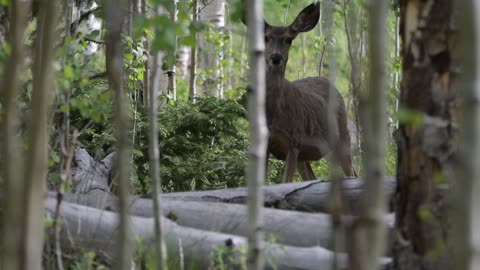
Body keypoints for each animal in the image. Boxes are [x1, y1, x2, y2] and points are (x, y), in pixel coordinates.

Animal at [244, 2, 356, 182]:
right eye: (266, 38)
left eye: (289, 39)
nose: (276, 57)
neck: (273, 115)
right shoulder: (267, 145)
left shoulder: (293, 142)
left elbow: (286, 181)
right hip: (306, 155)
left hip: (343, 136)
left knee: (353, 173)